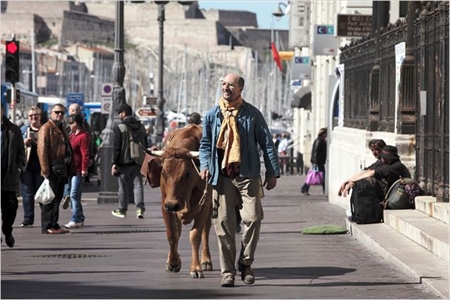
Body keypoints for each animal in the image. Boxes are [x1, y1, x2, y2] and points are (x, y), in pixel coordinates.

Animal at [144, 124, 214, 278]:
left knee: (206, 229)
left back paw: (206, 261)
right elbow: (172, 234)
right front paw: (173, 262)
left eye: (187, 174)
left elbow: (195, 235)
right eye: (163, 173)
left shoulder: (204, 204)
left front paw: (196, 268)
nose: (172, 204)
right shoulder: (165, 205)